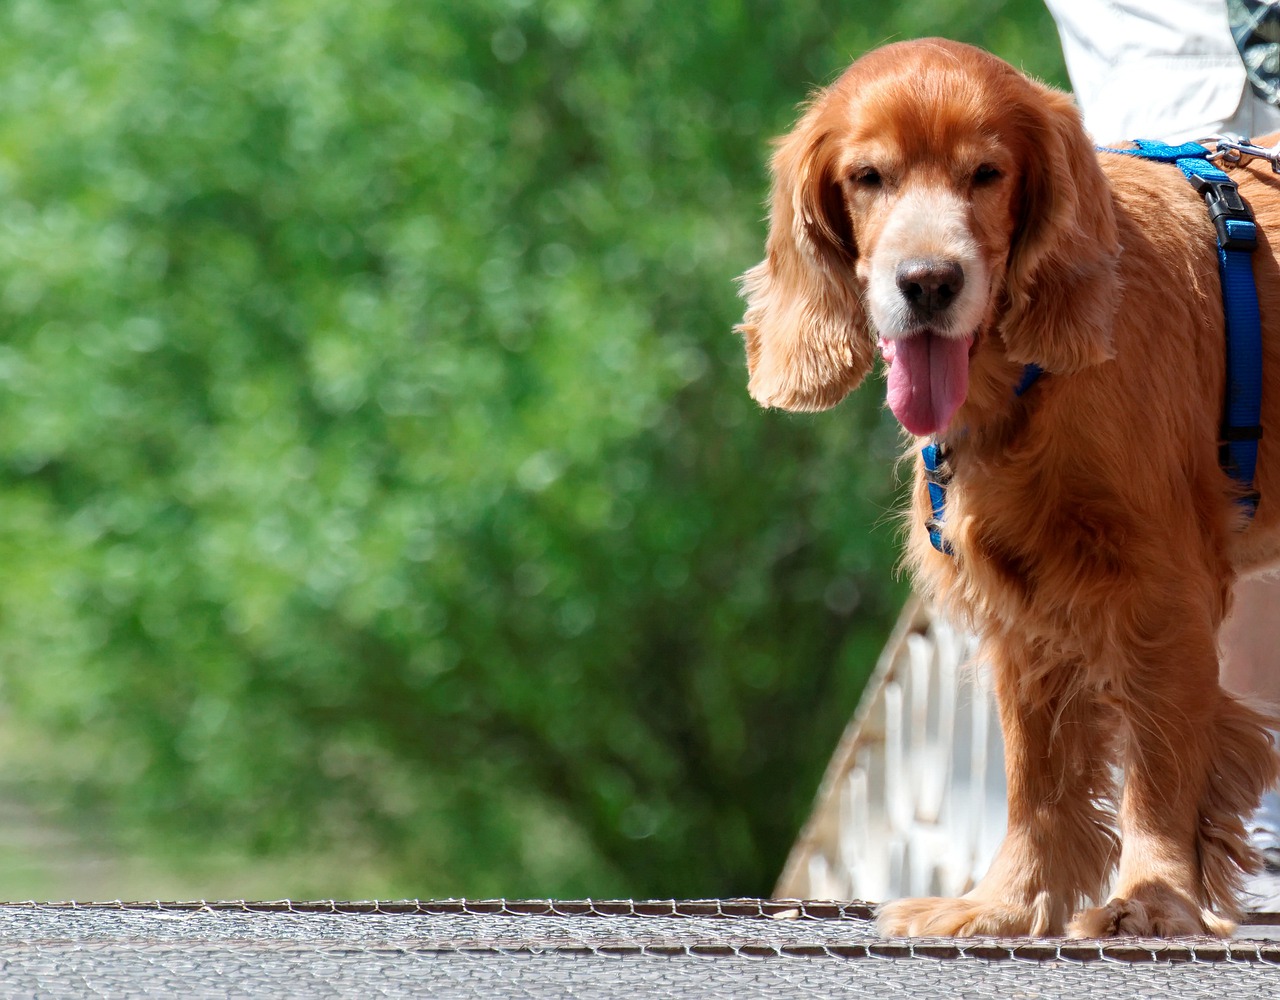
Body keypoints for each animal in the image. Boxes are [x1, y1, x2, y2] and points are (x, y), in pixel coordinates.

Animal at [737, 39, 1280, 937]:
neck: (1021, 380)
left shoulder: (1159, 584)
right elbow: (1039, 776)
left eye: (986, 174)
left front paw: (1151, 898)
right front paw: (1006, 904)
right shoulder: (1025, 600)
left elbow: (1161, 761)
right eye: (869, 177)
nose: (928, 282)